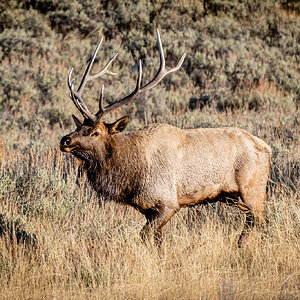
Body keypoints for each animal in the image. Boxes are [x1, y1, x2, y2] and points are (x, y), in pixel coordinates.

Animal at [59, 29, 270, 247]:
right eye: (78, 126)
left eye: (96, 132)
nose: (65, 140)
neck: (130, 174)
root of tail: (266, 147)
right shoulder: (148, 208)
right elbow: (159, 241)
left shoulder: (168, 202)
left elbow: (145, 236)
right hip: (236, 196)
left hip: (253, 189)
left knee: (261, 222)